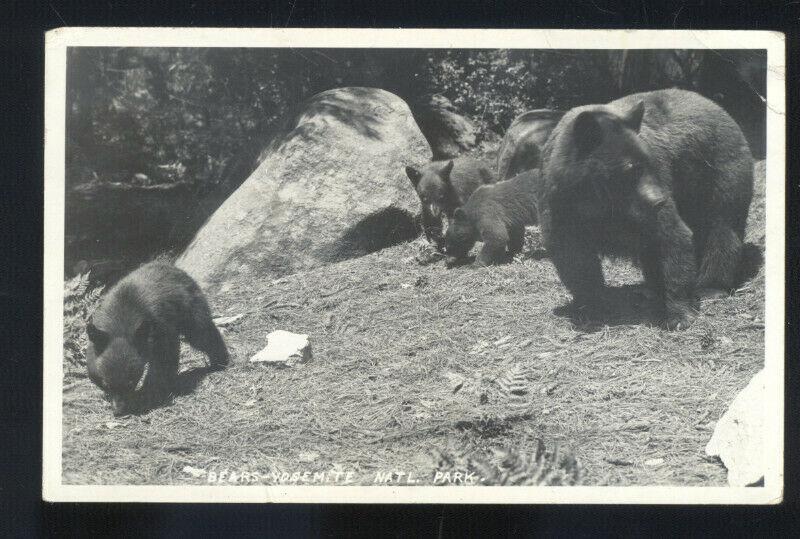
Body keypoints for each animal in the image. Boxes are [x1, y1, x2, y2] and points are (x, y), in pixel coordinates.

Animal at [85, 262, 228, 418]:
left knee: (202, 335)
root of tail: (173, 267)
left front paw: (147, 395)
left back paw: (220, 362)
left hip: (190, 312)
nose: (119, 412)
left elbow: (163, 361)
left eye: (130, 383)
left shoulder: (161, 328)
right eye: (106, 384)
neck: (120, 323)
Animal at [536, 89, 756, 330]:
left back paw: (711, 286)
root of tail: (715, 105)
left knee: (722, 225)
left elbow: (672, 238)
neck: (597, 200)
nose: (658, 200)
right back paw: (652, 289)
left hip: (718, 168)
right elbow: (573, 256)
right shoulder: (561, 204)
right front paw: (592, 308)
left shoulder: (653, 197)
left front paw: (679, 315)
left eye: (648, 161)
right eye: (630, 169)